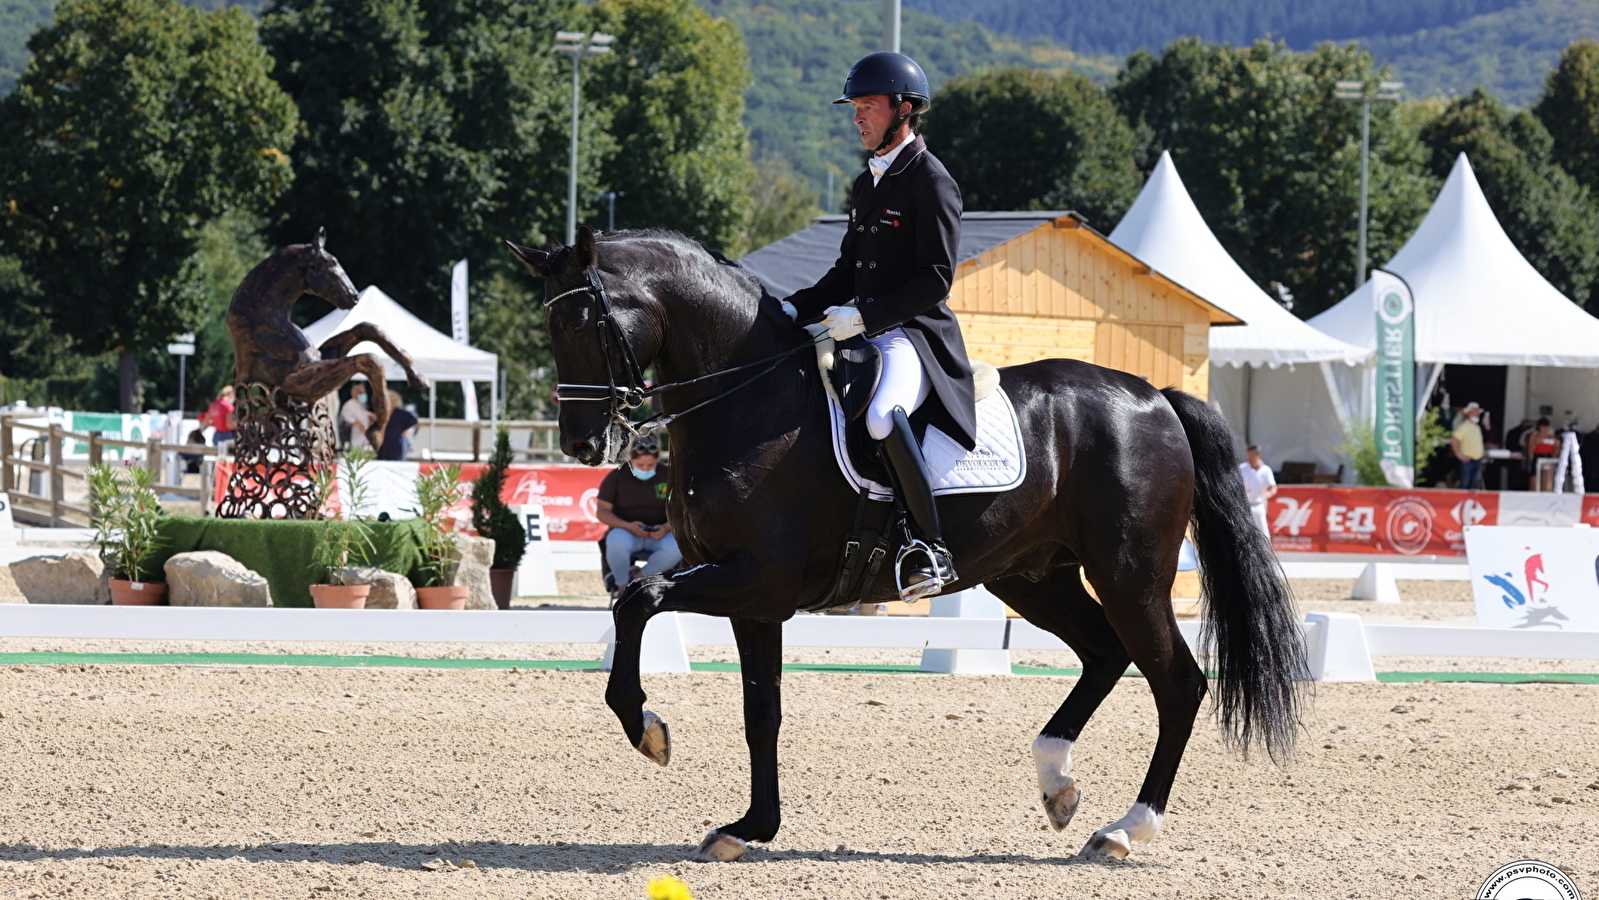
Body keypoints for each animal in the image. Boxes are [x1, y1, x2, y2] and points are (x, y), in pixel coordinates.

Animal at [505, 226, 1304, 863]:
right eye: (550, 325)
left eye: (584, 318)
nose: (580, 444)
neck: (749, 402)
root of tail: (1154, 396)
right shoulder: (754, 598)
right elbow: (761, 712)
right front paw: (749, 827)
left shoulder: (755, 578)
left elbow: (637, 599)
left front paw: (646, 727)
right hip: (1033, 575)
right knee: (1105, 654)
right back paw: (1058, 785)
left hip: (1129, 575)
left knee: (1177, 683)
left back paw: (1123, 830)